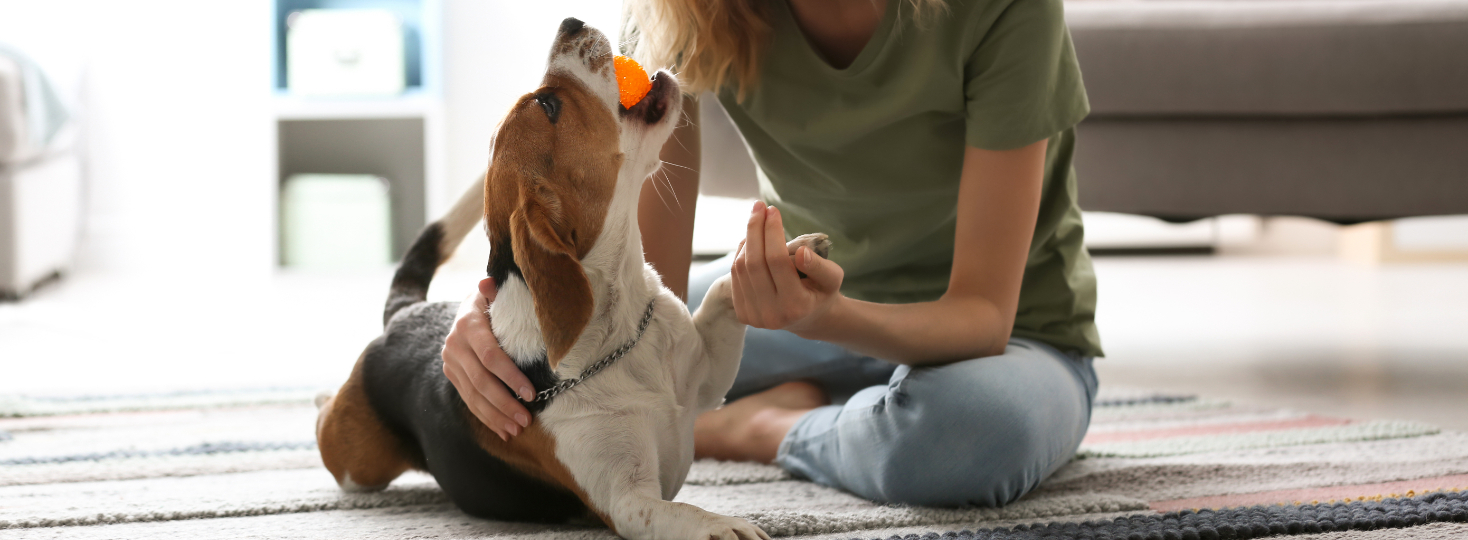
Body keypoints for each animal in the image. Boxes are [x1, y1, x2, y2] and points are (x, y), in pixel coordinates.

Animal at [314, 18, 828, 540]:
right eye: (548, 105)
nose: (570, 23)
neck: (618, 328)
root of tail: (404, 313)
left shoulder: (707, 381)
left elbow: (726, 292)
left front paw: (781, 254)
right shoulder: (627, 500)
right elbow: (684, 512)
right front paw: (725, 525)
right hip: (357, 465)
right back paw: (319, 398)